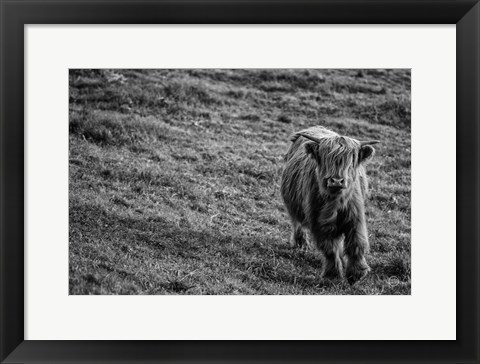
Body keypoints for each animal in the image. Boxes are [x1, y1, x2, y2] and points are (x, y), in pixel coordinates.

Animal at [282, 126, 378, 284]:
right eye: (326, 157)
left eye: (351, 159)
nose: (336, 181)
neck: (335, 202)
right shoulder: (319, 222)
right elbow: (330, 249)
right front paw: (332, 275)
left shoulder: (356, 218)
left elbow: (357, 243)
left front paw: (357, 273)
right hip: (294, 204)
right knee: (297, 222)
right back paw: (301, 244)